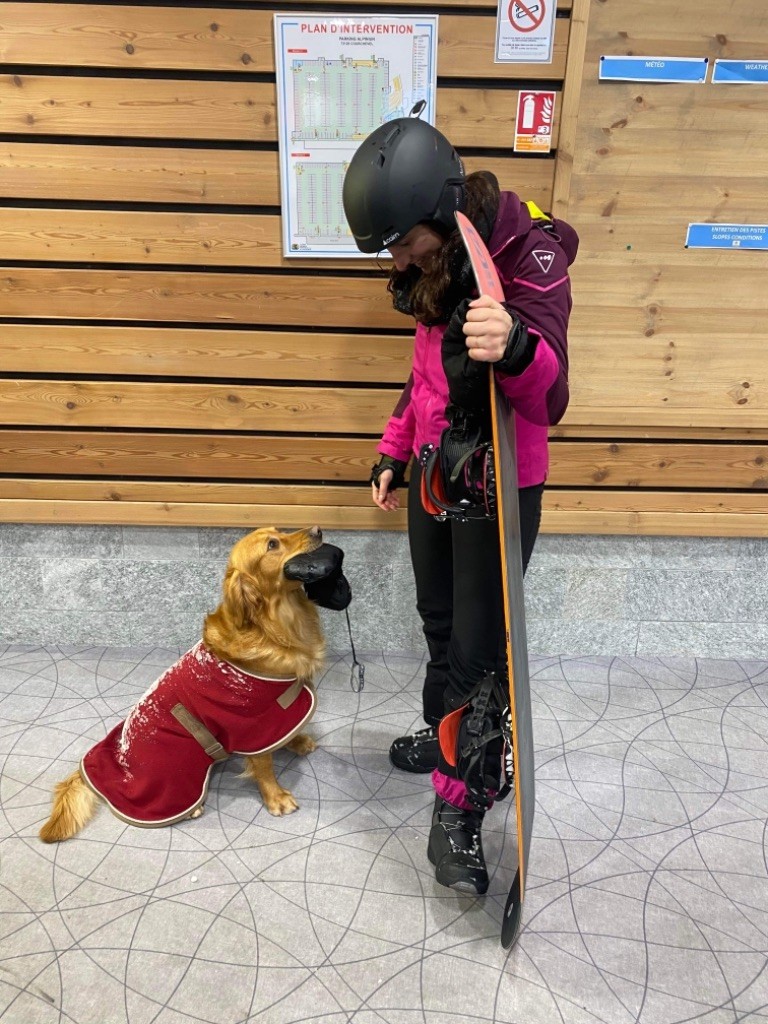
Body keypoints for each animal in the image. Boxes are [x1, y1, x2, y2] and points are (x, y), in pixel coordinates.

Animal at [40, 526, 350, 842]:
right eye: (273, 544)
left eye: (279, 530)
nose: (318, 529)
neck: (275, 626)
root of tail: (109, 768)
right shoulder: (255, 725)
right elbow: (264, 766)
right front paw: (276, 798)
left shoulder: (281, 715)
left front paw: (298, 742)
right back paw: (193, 808)